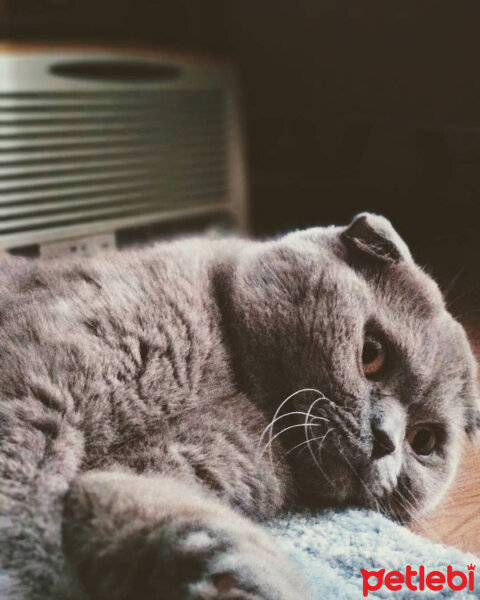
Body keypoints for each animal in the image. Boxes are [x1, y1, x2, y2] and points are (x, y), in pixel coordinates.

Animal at [0, 214, 478, 600]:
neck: (234, 387)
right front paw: (33, 584)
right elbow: (21, 514)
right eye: (373, 354)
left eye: (423, 440)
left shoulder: (169, 466)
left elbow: (157, 507)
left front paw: (236, 583)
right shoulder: (37, 400)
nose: (384, 441)